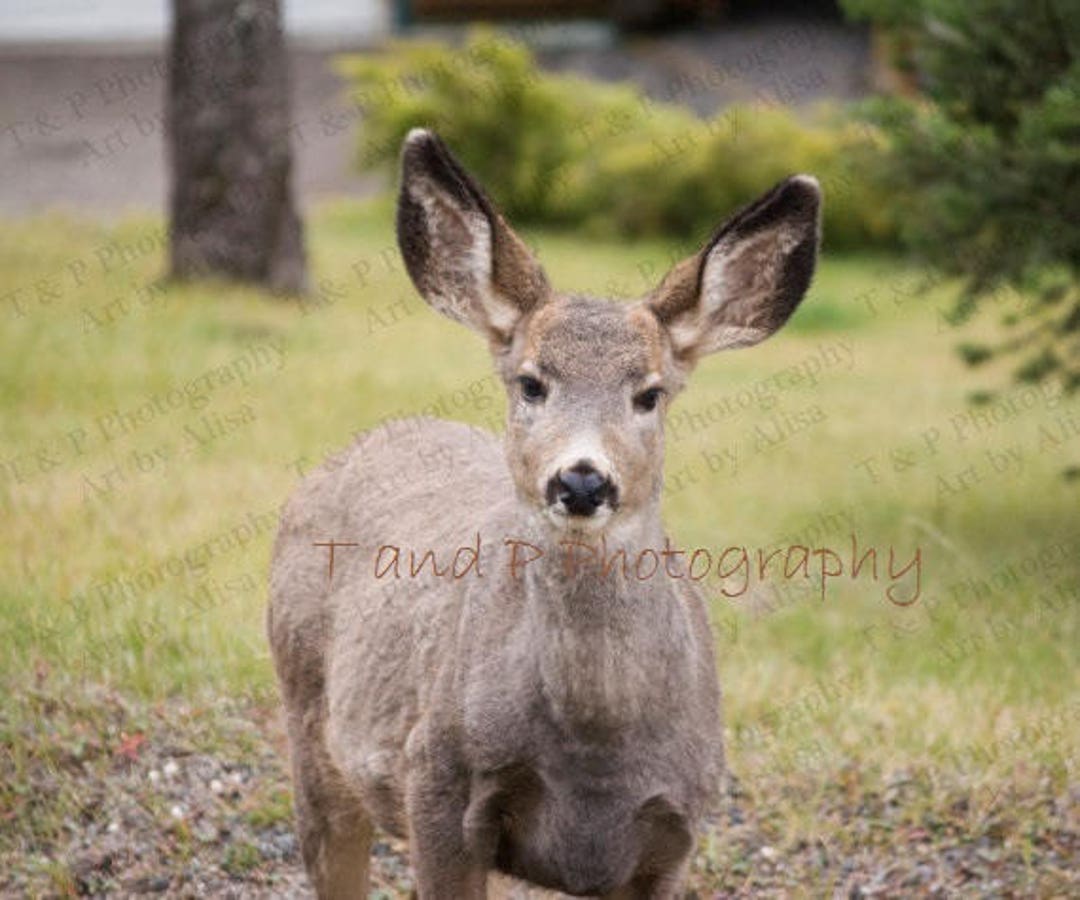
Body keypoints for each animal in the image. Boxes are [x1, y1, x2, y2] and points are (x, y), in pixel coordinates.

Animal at [268, 128, 821, 899]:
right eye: (531, 383)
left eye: (649, 394)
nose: (582, 480)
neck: (595, 753)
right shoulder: (435, 783)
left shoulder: (676, 827)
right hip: (307, 715)